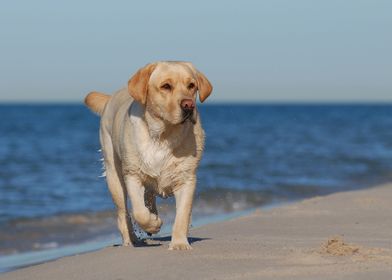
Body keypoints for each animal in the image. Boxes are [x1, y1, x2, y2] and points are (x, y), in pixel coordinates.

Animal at [84, 61, 213, 249]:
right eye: (166, 86)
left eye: (191, 86)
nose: (189, 105)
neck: (163, 137)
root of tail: (110, 98)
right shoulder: (133, 175)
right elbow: (139, 212)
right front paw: (154, 223)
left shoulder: (186, 178)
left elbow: (182, 215)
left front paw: (179, 243)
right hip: (114, 176)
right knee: (123, 213)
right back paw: (131, 239)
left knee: (149, 196)